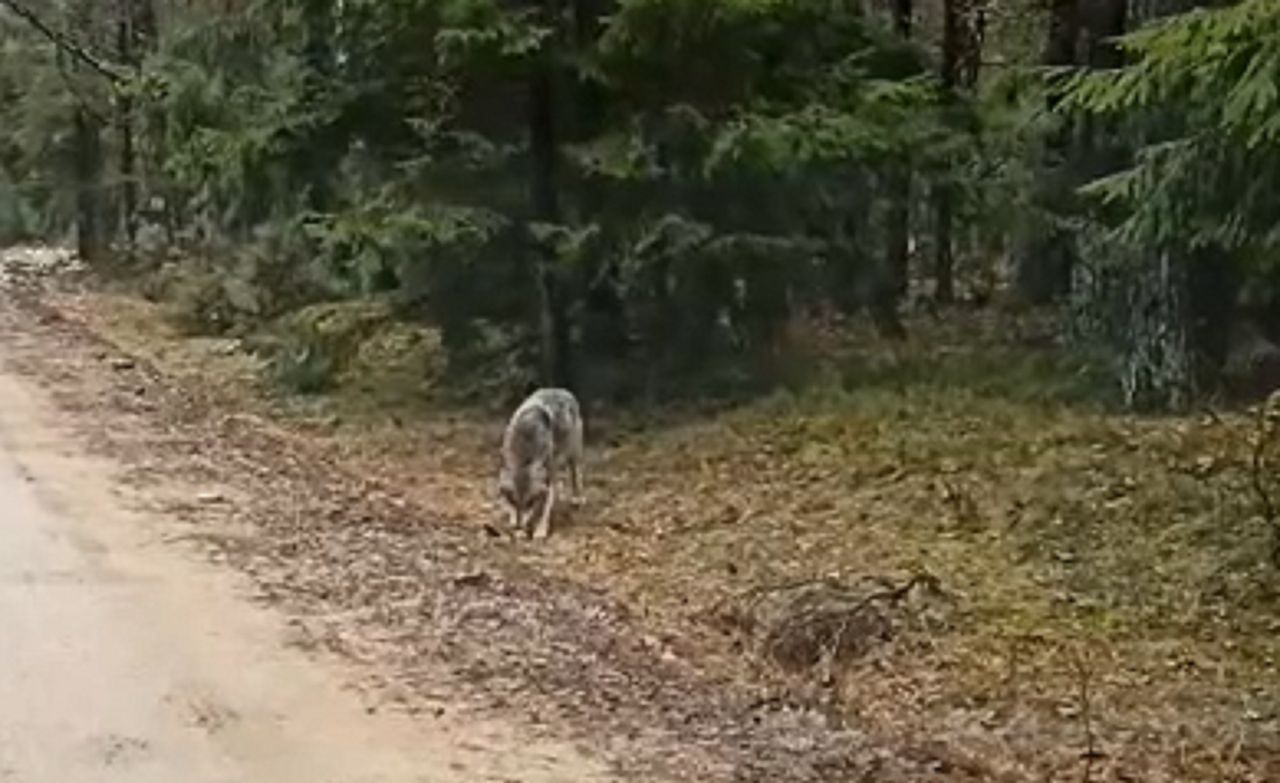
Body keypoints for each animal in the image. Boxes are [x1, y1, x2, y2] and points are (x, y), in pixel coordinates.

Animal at [494, 386, 586, 537]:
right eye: (513, 500)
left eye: (529, 502)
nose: (519, 526)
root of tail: (561, 390)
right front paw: (517, 526)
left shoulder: (549, 477)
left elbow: (545, 508)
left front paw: (541, 531)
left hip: (573, 455)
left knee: (576, 475)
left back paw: (577, 499)